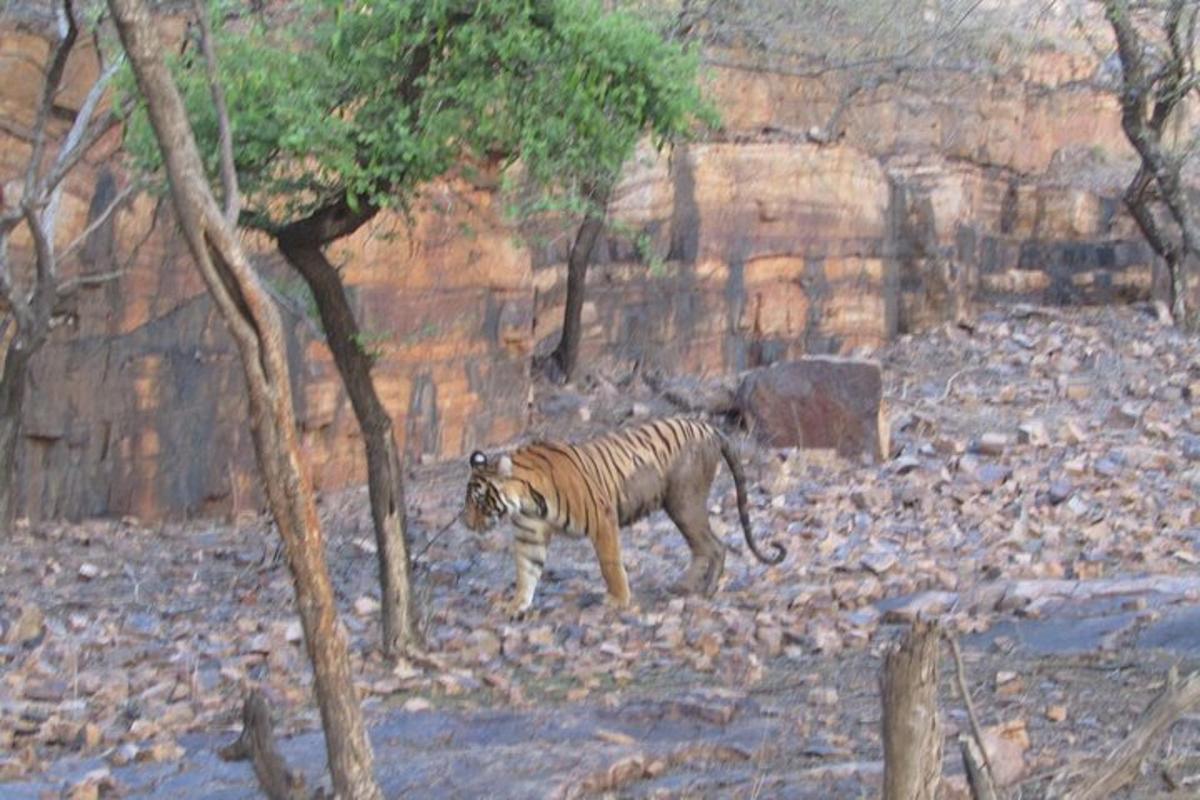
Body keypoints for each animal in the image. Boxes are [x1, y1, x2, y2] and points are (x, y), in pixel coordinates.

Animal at [460, 419, 787, 618]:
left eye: (478, 500)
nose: (466, 524)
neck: (527, 501)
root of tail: (707, 426)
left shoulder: (603, 520)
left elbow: (610, 564)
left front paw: (618, 599)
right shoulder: (530, 534)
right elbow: (526, 572)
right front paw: (517, 606)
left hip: (684, 502)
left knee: (715, 545)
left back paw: (706, 590)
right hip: (681, 507)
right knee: (702, 547)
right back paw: (683, 586)